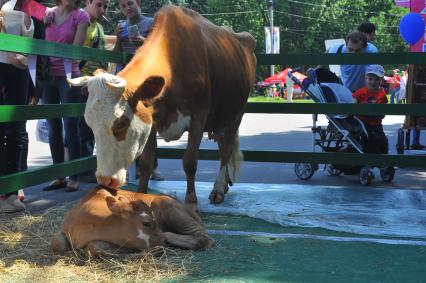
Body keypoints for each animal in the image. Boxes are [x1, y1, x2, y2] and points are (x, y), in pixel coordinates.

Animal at [51, 186, 215, 255]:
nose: (161, 241)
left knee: (205, 237)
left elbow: (94, 247)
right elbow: (57, 242)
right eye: (147, 223)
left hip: (166, 205)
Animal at [67, 5, 256, 213]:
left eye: (121, 123)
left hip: (237, 112)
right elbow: (146, 163)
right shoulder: (151, 119)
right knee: (224, 145)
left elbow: (190, 161)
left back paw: (218, 189)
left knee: (226, 149)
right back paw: (224, 184)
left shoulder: (199, 116)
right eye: (90, 124)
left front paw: (191, 202)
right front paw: (140, 196)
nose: (104, 179)